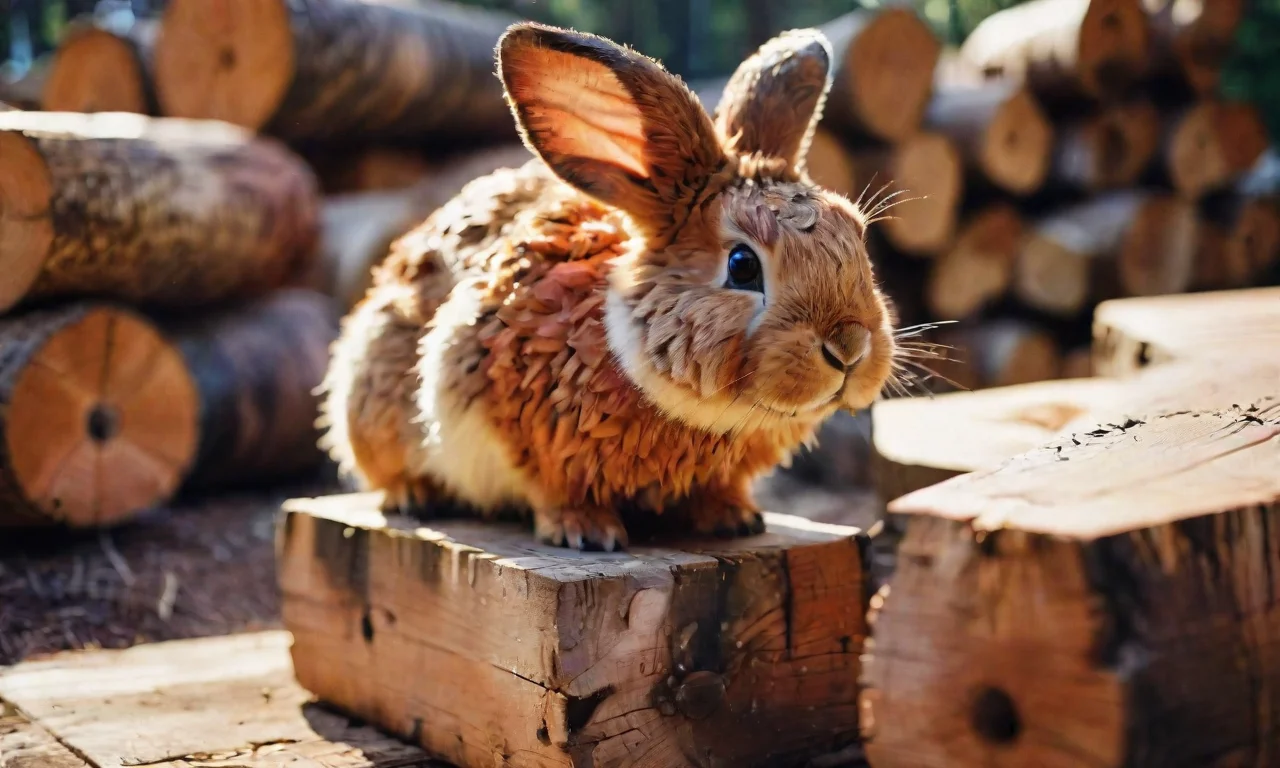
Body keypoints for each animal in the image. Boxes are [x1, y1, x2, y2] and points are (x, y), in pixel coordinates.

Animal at [318, 21, 898, 551]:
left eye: (857, 236)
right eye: (742, 266)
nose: (849, 347)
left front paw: (733, 518)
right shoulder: (520, 428)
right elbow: (554, 490)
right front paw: (586, 532)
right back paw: (415, 496)